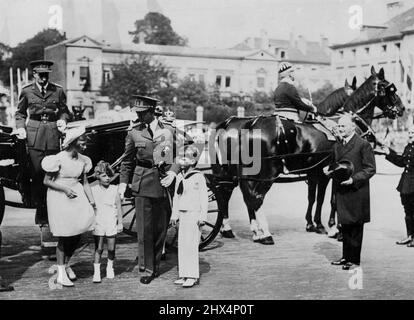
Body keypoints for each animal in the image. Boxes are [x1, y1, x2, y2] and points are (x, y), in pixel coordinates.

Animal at [213, 66, 404, 244]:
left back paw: (239, 229)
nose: (401, 108)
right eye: (391, 88)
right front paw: (333, 228)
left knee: (229, 194)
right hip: (266, 173)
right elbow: (330, 199)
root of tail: (248, 125)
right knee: (254, 197)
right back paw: (263, 233)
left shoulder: (316, 173)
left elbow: (314, 197)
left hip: (228, 172)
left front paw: (314, 224)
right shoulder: (331, 173)